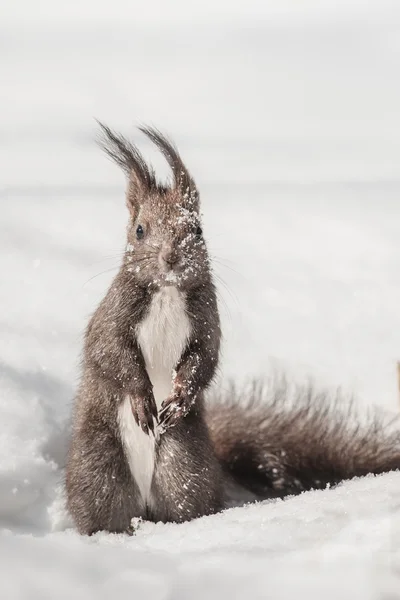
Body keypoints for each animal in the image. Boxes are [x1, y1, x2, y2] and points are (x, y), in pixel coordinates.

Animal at [65, 124, 400, 536]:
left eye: (197, 228)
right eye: (139, 230)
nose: (171, 257)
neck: (167, 291)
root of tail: (143, 506)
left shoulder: (207, 321)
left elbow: (203, 358)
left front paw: (180, 398)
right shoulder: (113, 317)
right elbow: (112, 353)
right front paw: (143, 399)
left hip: (184, 463)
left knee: (183, 499)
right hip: (99, 468)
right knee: (104, 508)